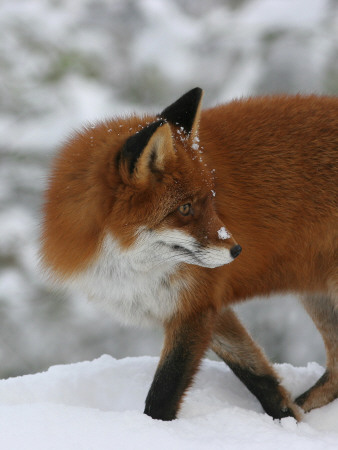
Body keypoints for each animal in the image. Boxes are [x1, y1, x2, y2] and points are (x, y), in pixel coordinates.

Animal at [42, 88, 338, 422]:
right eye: (185, 208)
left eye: (211, 200)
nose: (237, 250)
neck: (131, 270)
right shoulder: (202, 307)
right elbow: (256, 373)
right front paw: (287, 420)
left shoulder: (196, 304)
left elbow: (165, 390)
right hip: (317, 296)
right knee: (336, 374)